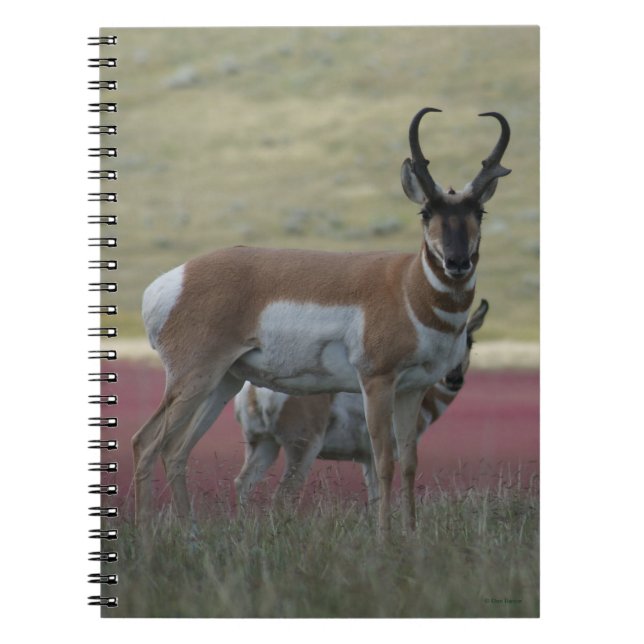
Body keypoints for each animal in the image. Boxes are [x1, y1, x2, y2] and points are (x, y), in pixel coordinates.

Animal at [234, 300, 489, 507]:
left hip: (264, 444)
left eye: (471, 341)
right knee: (283, 495)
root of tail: (255, 392)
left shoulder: (367, 459)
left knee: (242, 482)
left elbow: (374, 499)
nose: (454, 378)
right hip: (302, 448)